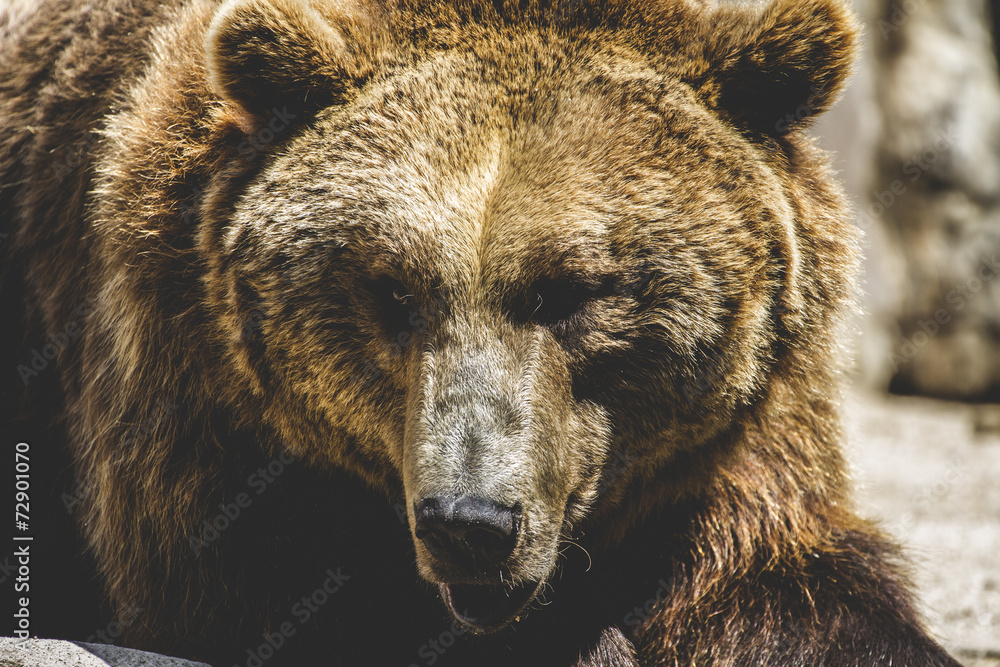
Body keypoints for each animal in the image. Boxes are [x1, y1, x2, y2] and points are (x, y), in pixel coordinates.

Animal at [0, 0, 963, 665]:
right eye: (392, 290)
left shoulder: (739, 437)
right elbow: (271, 593)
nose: (470, 520)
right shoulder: (195, 387)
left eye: (574, 290)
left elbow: (788, 585)